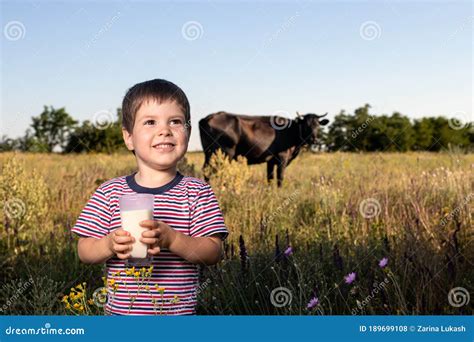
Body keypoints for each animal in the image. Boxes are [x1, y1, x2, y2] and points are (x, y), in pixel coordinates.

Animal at [199, 111, 330, 187]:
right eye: (306, 125)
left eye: (317, 125)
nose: (314, 140)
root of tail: (209, 117)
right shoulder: (282, 158)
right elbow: (280, 178)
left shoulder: (270, 160)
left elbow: (270, 178)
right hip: (224, 153)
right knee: (219, 172)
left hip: (209, 153)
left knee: (206, 170)